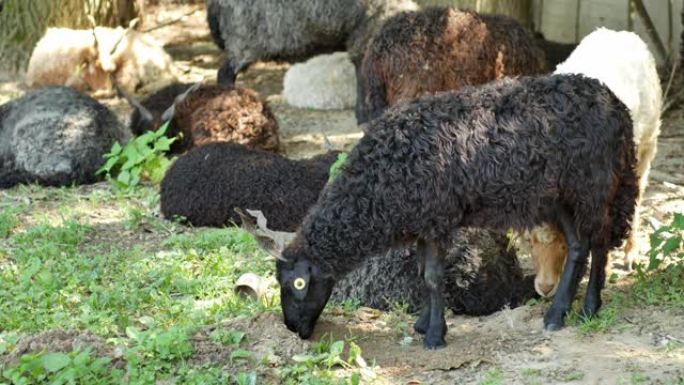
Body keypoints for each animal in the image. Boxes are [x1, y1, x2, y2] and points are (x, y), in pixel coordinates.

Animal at [276, 73, 640, 348]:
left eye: (298, 285)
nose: (293, 329)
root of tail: (616, 105)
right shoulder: (423, 223)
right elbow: (422, 275)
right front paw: (424, 324)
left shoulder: (438, 220)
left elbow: (434, 277)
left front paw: (435, 336)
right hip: (559, 196)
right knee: (578, 247)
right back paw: (557, 313)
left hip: (595, 187)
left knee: (599, 245)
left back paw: (587, 309)